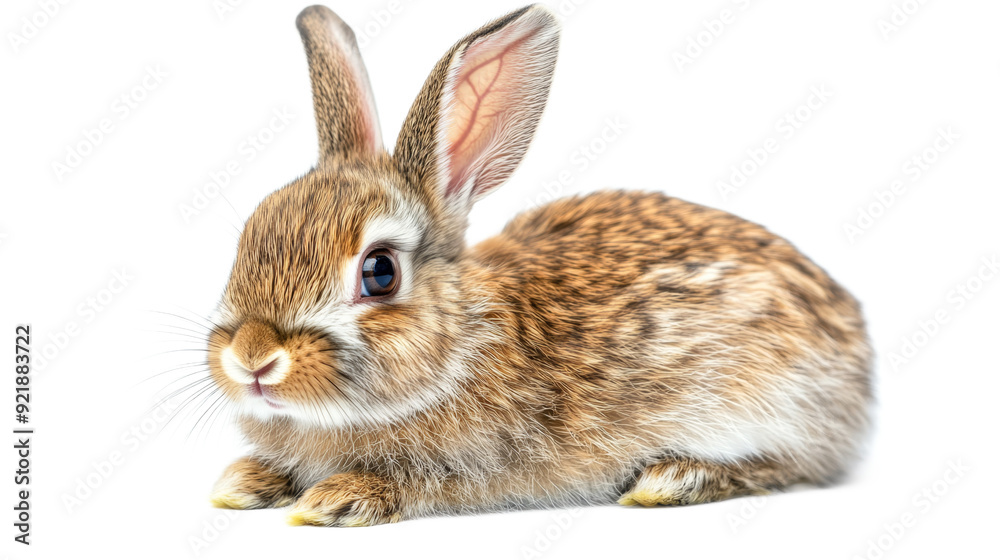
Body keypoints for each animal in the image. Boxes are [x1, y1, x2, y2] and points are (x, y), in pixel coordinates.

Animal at [205, 4, 873, 527]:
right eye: (248, 237)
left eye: (380, 272)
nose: (253, 358)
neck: (462, 345)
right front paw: (242, 483)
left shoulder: (482, 464)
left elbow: (424, 483)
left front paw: (334, 498)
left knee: (789, 465)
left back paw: (671, 479)